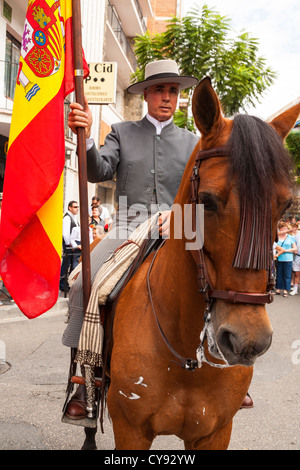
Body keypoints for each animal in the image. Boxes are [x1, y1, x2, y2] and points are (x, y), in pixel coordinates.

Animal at [88, 79, 298, 450]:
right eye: (207, 201)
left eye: (285, 205)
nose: (248, 341)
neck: (186, 355)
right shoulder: (130, 430)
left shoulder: (215, 432)